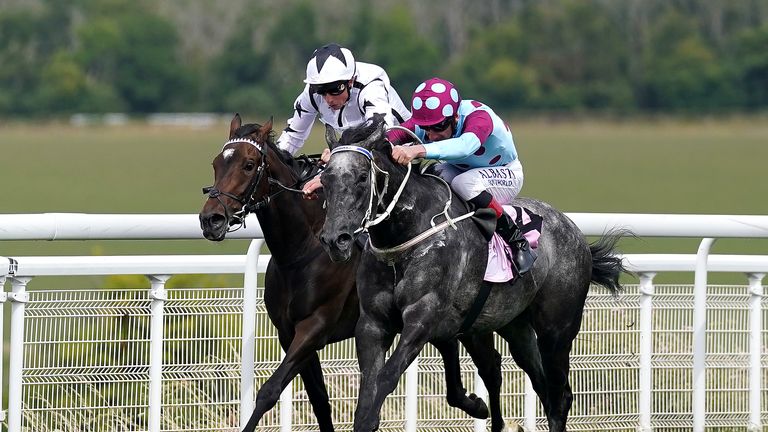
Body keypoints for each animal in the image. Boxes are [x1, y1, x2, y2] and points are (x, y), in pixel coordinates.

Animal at [201, 114, 508, 432]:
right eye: (216, 164)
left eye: (249, 164)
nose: (211, 219)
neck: (299, 252)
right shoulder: (288, 333)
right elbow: (319, 400)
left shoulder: (316, 326)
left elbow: (270, 390)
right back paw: (474, 403)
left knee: (489, 363)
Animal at [320, 116, 632, 430]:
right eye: (325, 179)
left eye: (362, 177)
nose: (335, 240)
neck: (406, 237)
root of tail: (573, 231)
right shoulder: (375, 324)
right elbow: (369, 389)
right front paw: (477, 405)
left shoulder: (422, 318)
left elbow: (386, 377)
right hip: (514, 326)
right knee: (536, 383)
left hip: (557, 330)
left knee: (559, 396)